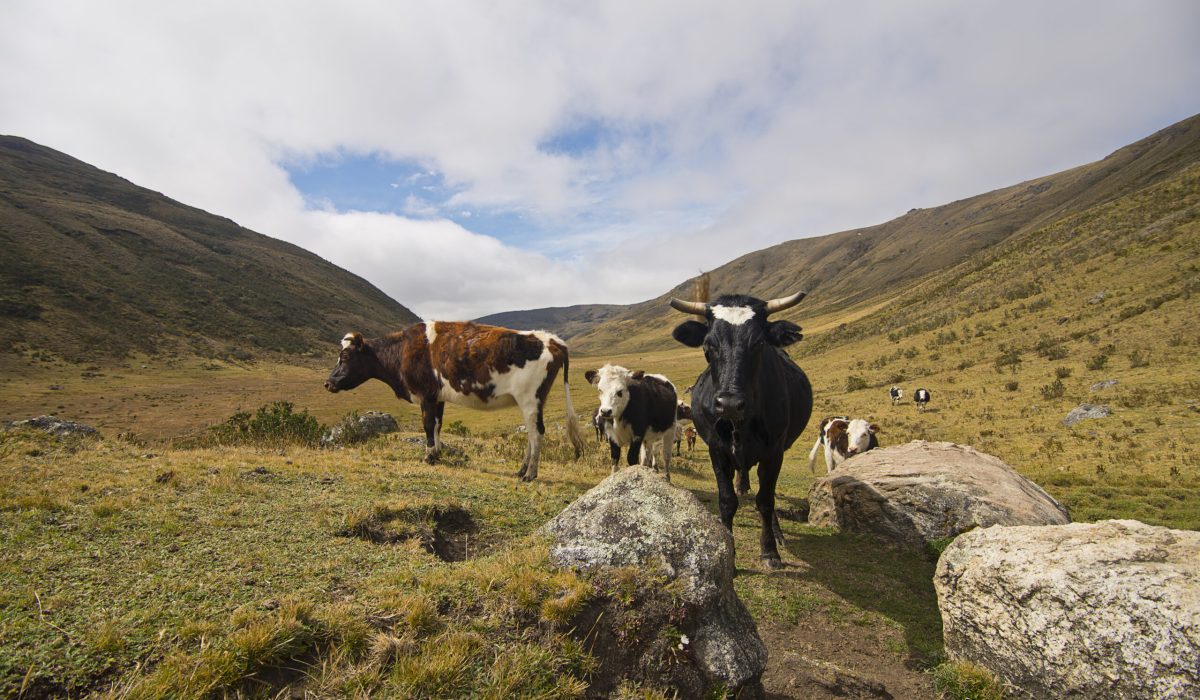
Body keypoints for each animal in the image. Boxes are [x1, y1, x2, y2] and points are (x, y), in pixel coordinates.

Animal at [324, 324, 585, 482]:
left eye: (345, 356)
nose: (328, 383)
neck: (402, 351)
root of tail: (553, 340)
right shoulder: (438, 397)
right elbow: (438, 425)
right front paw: (438, 454)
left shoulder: (426, 395)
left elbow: (428, 426)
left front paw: (428, 456)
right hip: (532, 401)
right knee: (531, 434)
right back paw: (521, 470)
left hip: (529, 398)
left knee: (536, 433)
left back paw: (530, 474)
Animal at [672, 289, 811, 569]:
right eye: (708, 345)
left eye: (759, 344)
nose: (729, 404)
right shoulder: (717, 450)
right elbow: (727, 501)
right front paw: (728, 547)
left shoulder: (774, 452)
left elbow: (766, 501)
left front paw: (769, 551)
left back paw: (778, 535)